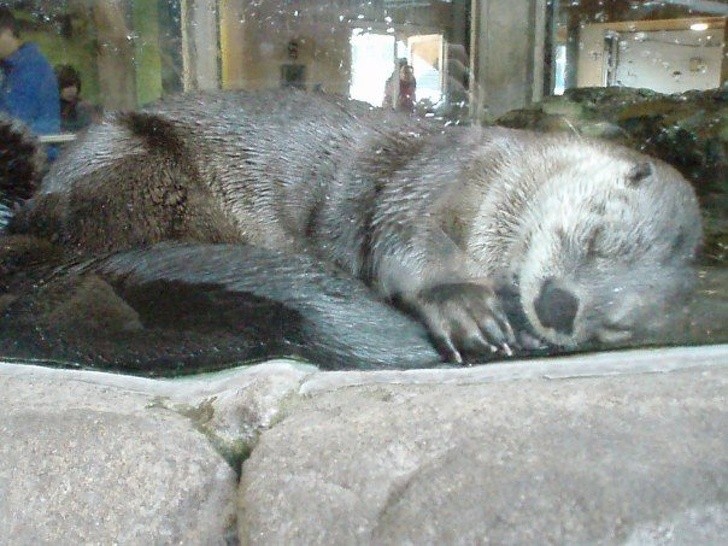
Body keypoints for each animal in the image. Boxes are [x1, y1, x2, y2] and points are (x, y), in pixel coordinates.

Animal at [1, 89, 704, 372]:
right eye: (593, 237)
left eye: (617, 325)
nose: (560, 306)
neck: (494, 182)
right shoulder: (433, 178)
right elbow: (403, 239)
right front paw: (465, 307)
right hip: (142, 172)